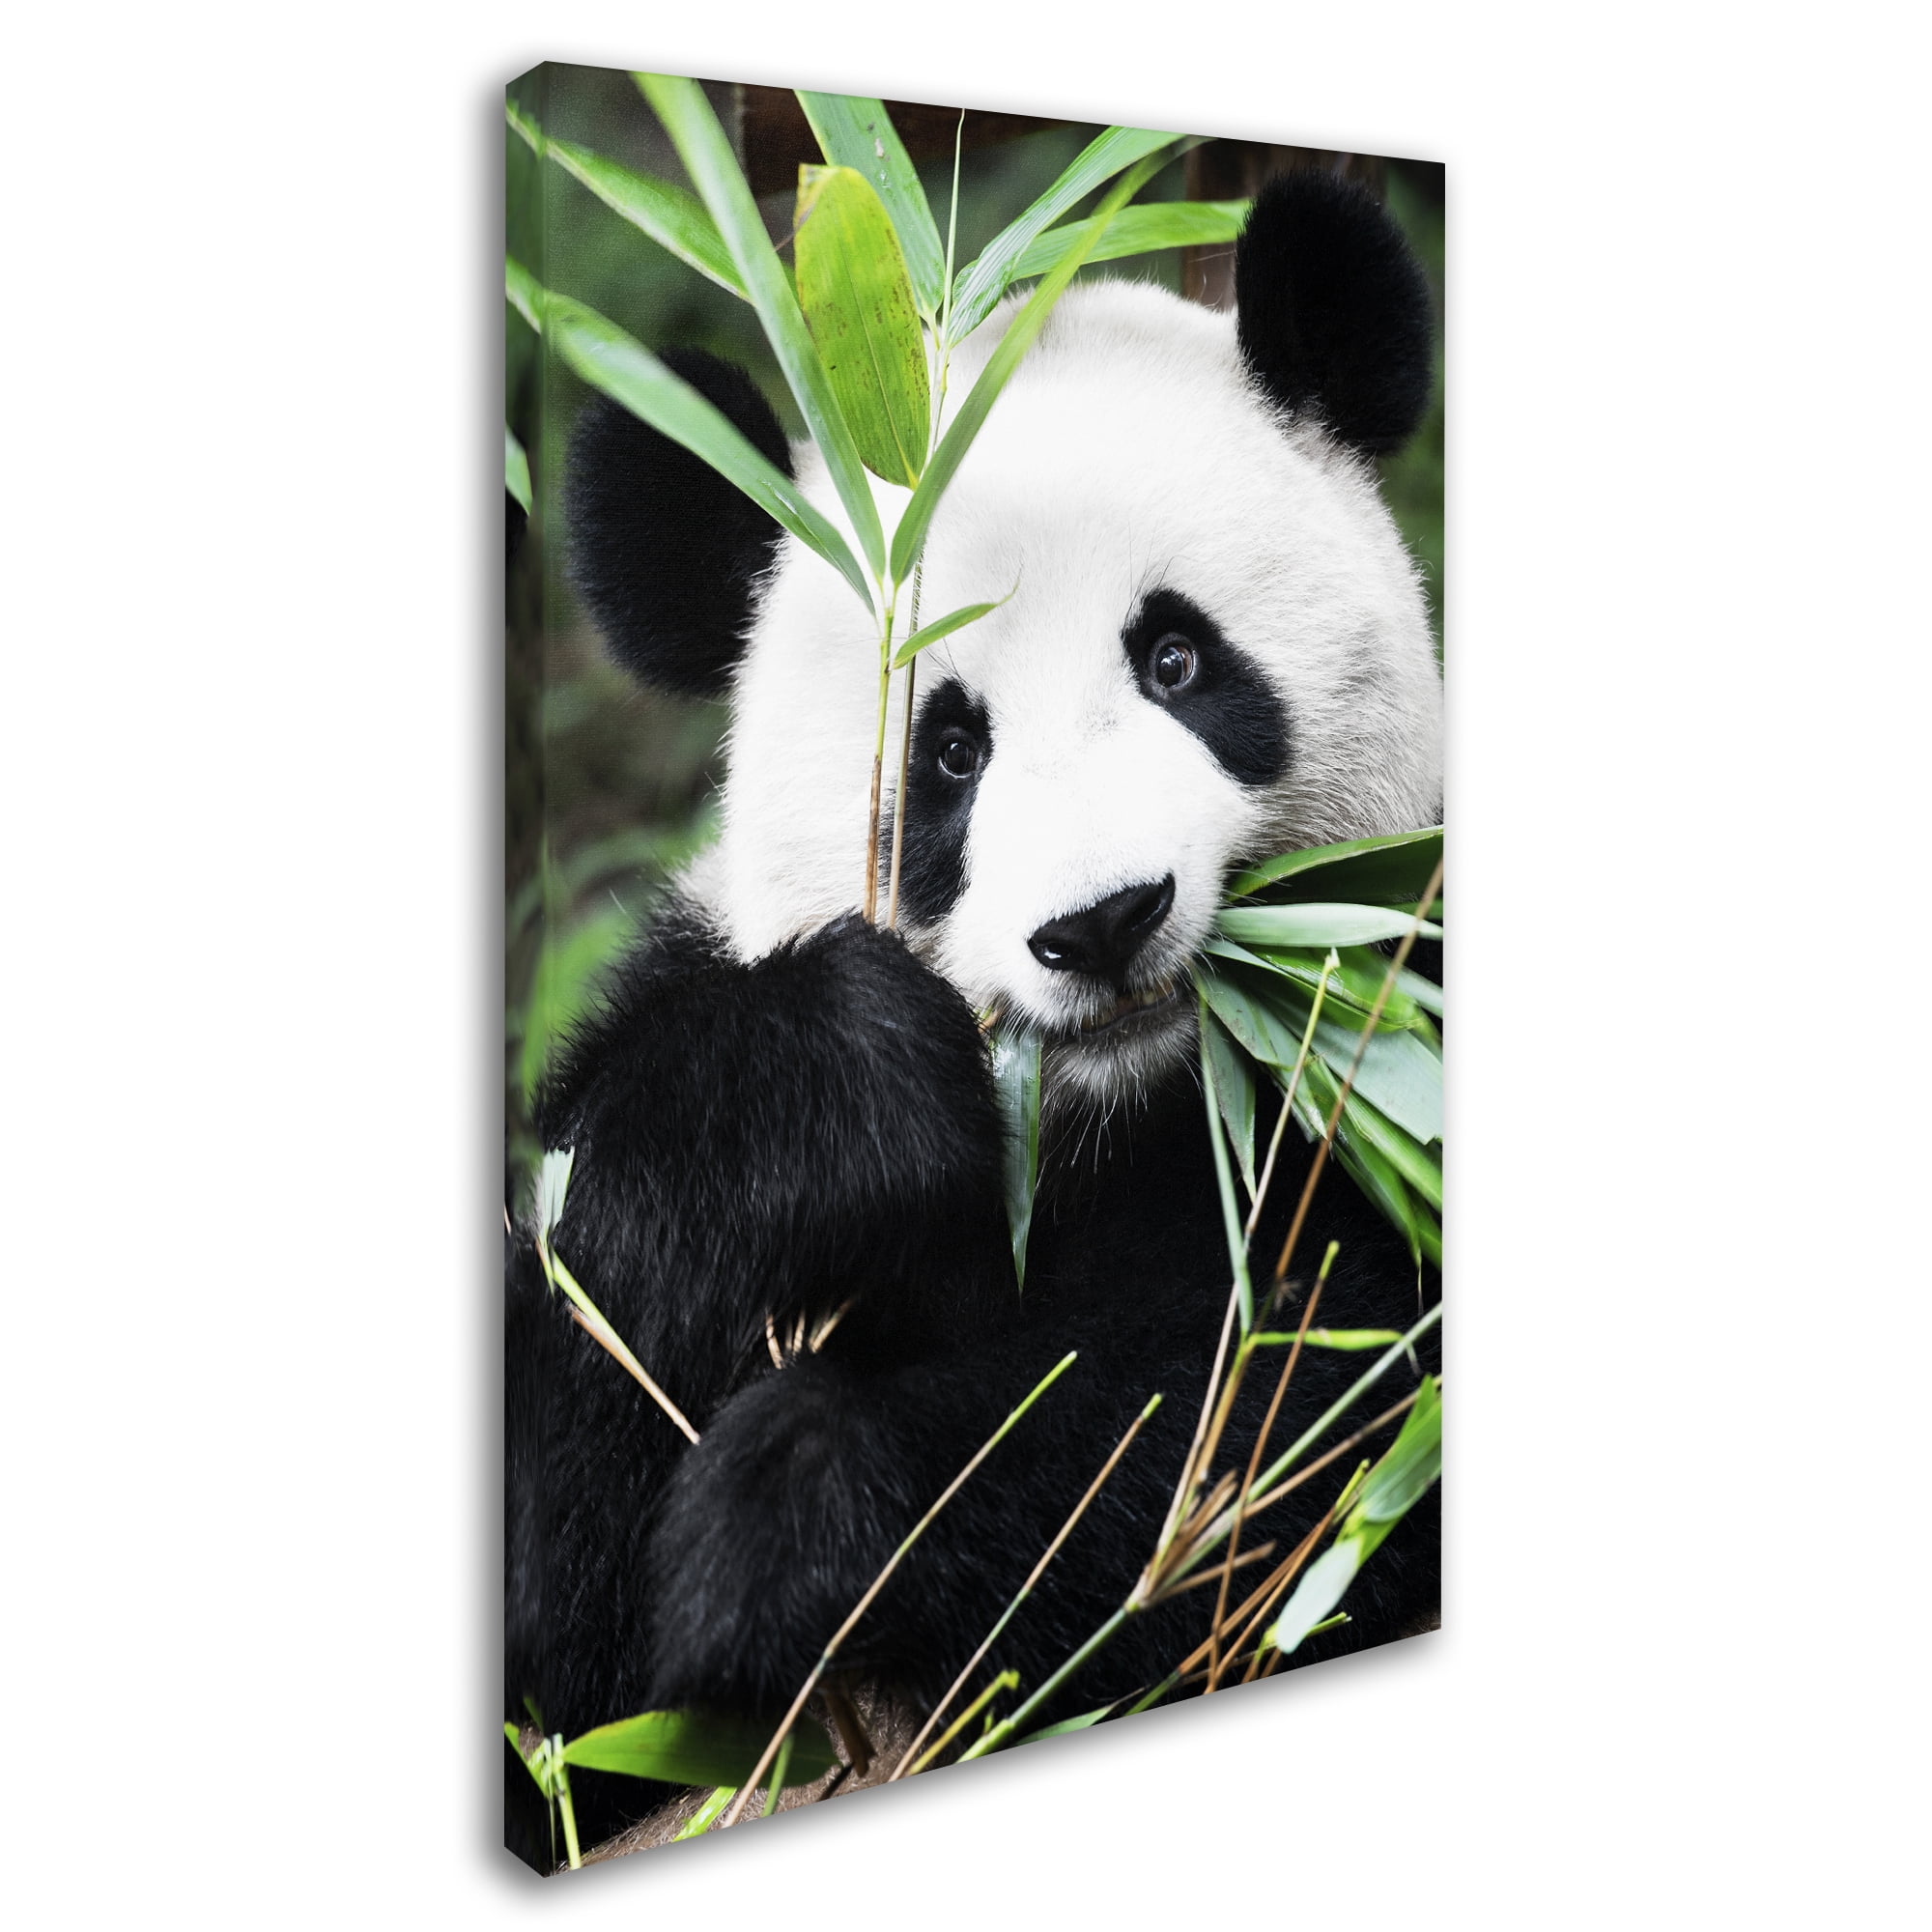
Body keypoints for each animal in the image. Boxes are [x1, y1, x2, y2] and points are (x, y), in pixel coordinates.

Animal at [506, 168, 1443, 1868]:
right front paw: (843, 1090)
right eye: (949, 752)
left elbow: (1299, 1424)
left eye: (1178, 658)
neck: (1114, 1120)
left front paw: (797, 1511)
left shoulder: (1393, 1055)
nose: (1104, 921)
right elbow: (562, 1650)